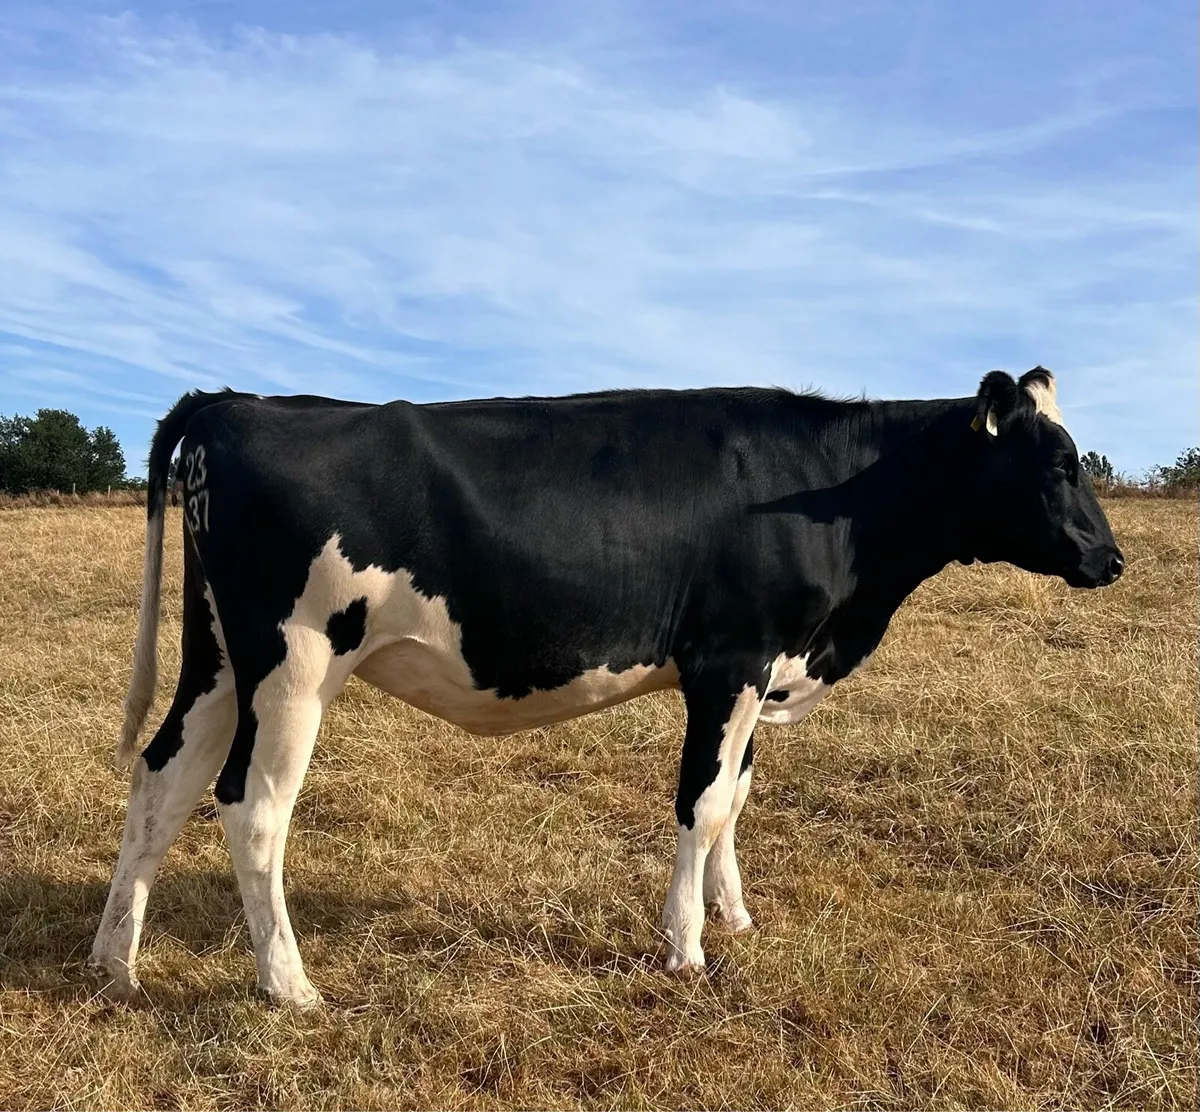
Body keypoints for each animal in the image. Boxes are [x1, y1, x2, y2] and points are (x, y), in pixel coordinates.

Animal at [88, 368, 1123, 1008]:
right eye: (1057, 462)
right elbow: (702, 803)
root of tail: (236, 402)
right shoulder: (730, 660)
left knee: (161, 780)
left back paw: (115, 964)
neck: (835, 499)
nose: (1111, 560)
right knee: (252, 806)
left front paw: (735, 918)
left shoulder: (760, 671)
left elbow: (737, 797)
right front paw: (686, 948)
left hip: (218, 656)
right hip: (295, 658)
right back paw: (289, 985)